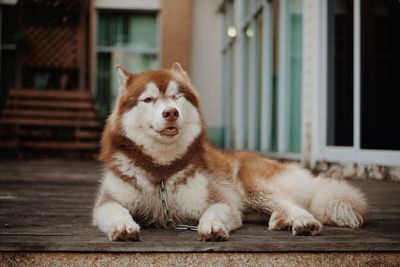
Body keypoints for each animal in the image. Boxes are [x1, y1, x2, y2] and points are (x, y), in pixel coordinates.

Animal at [92, 63, 368, 243]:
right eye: (148, 99)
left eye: (176, 96)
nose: (171, 112)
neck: (161, 170)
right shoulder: (106, 202)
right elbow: (116, 210)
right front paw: (123, 224)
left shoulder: (223, 202)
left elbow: (214, 211)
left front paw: (211, 225)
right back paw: (280, 220)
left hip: (253, 186)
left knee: (294, 204)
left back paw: (301, 221)